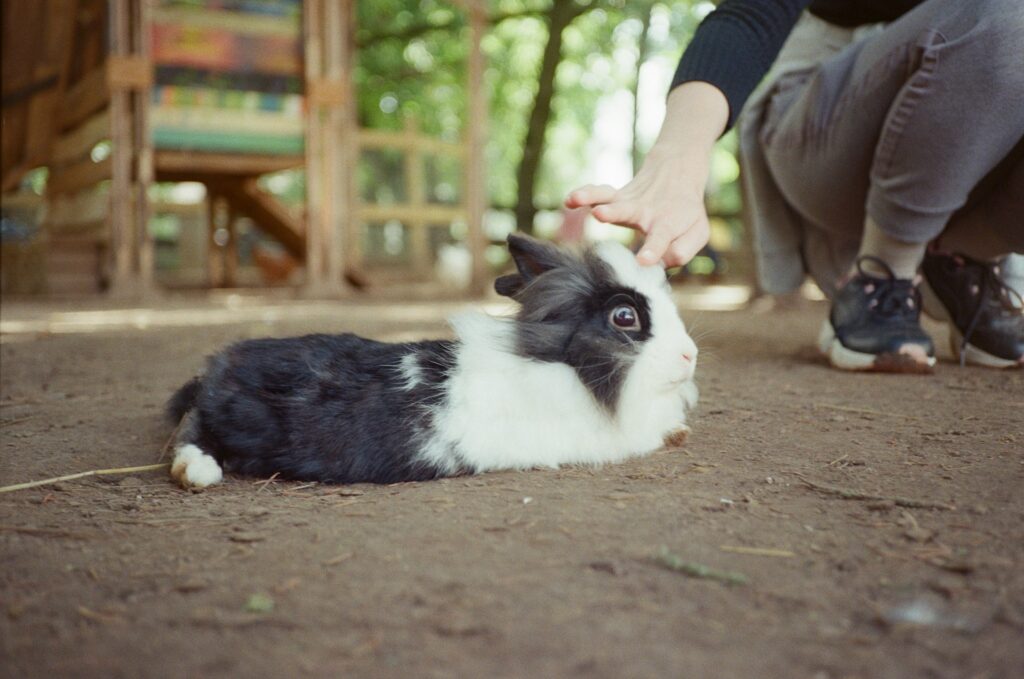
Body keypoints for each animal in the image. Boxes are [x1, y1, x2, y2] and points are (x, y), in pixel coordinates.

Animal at [167, 233, 700, 489]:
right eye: (625, 316)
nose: (690, 356)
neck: (570, 369)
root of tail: (219, 368)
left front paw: (680, 430)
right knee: (190, 435)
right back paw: (198, 475)